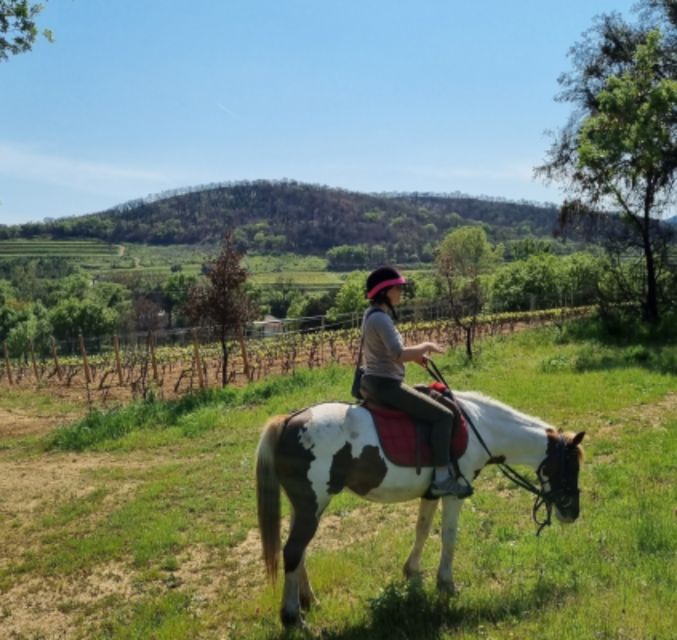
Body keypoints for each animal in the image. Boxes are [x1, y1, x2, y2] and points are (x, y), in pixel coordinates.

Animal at [256, 392, 584, 628]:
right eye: (570, 466)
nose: (572, 513)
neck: (478, 427)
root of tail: (289, 421)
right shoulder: (455, 494)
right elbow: (449, 537)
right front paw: (446, 584)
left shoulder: (433, 492)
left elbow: (423, 530)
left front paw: (411, 572)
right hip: (312, 504)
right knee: (293, 551)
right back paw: (292, 617)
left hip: (306, 506)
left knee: (299, 552)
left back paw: (308, 601)